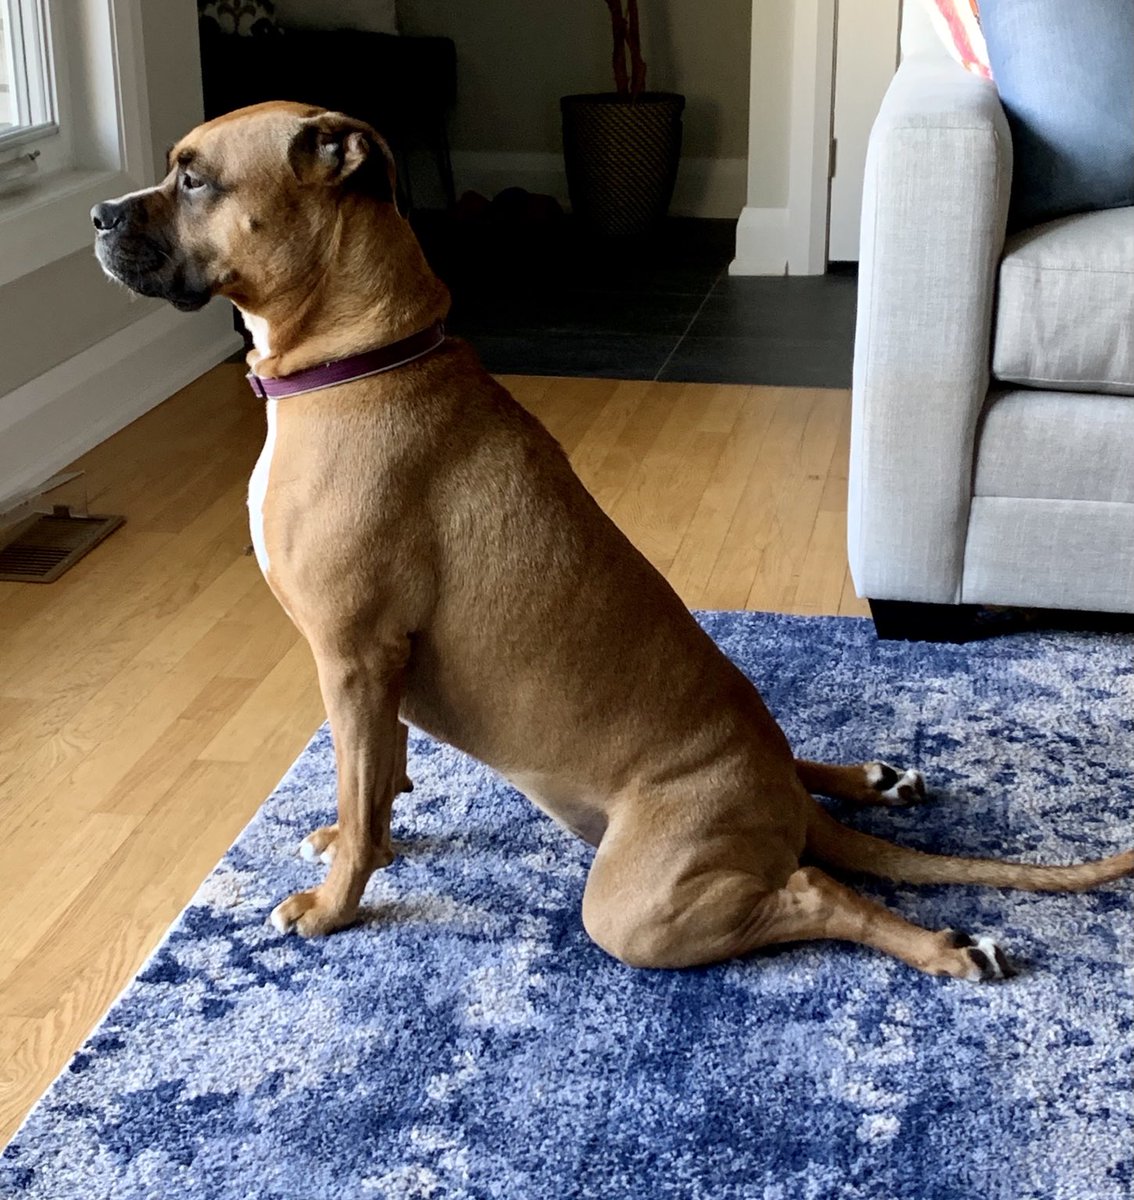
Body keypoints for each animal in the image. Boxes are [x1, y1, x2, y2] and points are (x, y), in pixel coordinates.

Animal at [93, 103, 1128, 979]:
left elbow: (362, 778)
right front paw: (360, 835)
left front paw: (335, 900)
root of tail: (776, 800)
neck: (363, 357)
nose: (100, 214)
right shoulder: (373, 675)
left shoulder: (352, 658)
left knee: (813, 890)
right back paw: (873, 782)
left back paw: (945, 946)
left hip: (637, 906)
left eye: (195, 178)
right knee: (809, 806)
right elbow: (376, 776)